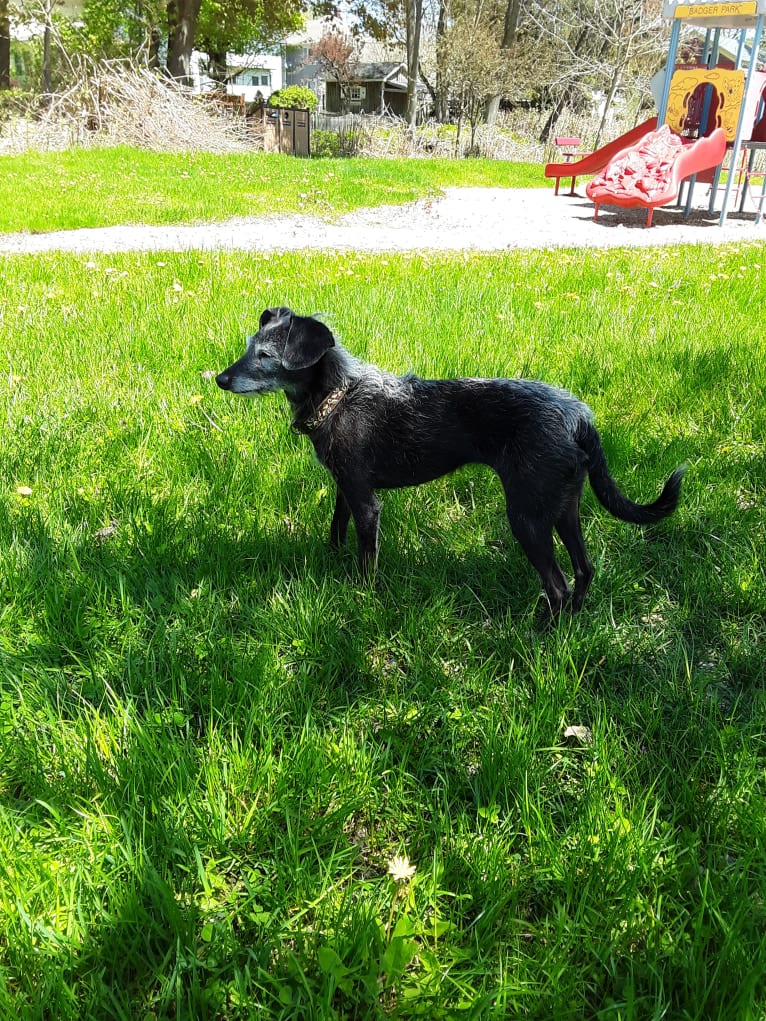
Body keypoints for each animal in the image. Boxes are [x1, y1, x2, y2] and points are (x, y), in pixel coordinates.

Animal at [218, 306, 686, 612]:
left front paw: (360, 598)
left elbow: (366, 561)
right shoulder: (344, 490)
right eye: (248, 347)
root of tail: (578, 415)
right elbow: (335, 532)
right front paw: (331, 567)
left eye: (265, 356)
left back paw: (539, 638)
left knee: (558, 586)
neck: (339, 395)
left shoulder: (366, 502)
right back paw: (572, 622)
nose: (220, 379)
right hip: (562, 507)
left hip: (527, 517)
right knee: (585, 570)